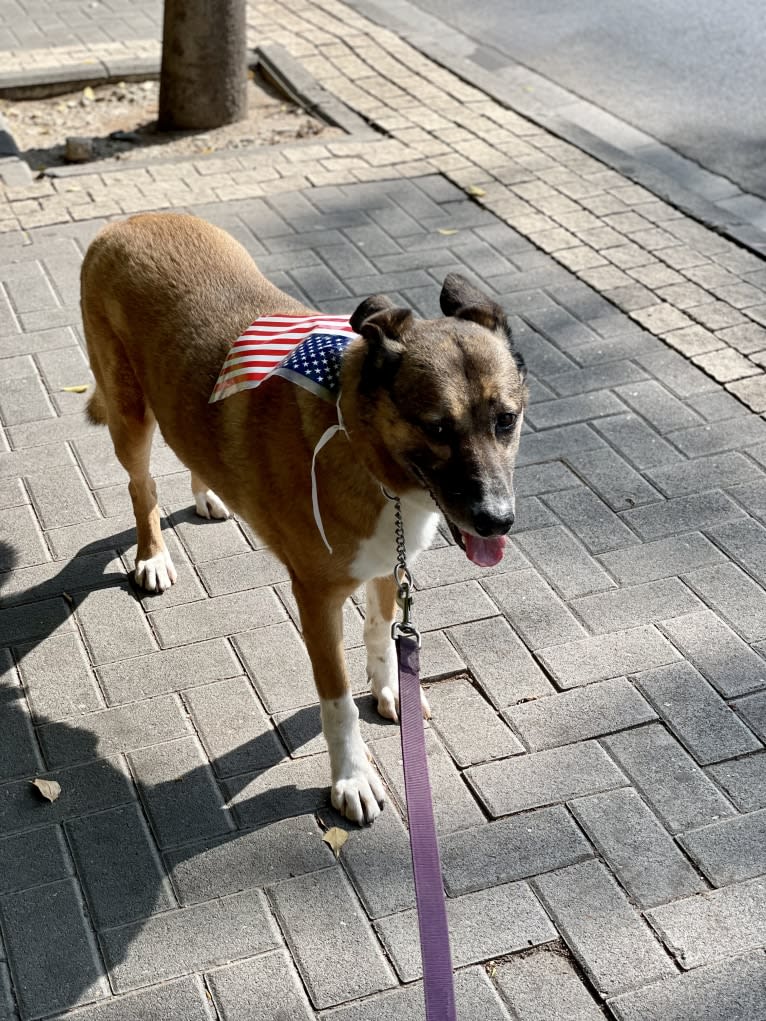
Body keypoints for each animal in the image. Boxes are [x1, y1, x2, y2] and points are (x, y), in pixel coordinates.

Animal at [82, 213, 527, 820]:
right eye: (437, 428)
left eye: (506, 420)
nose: (496, 521)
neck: (360, 442)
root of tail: (130, 220)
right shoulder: (316, 600)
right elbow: (337, 701)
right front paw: (352, 777)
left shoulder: (387, 564)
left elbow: (380, 633)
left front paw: (393, 690)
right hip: (129, 416)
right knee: (140, 484)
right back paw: (152, 556)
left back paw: (208, 493)